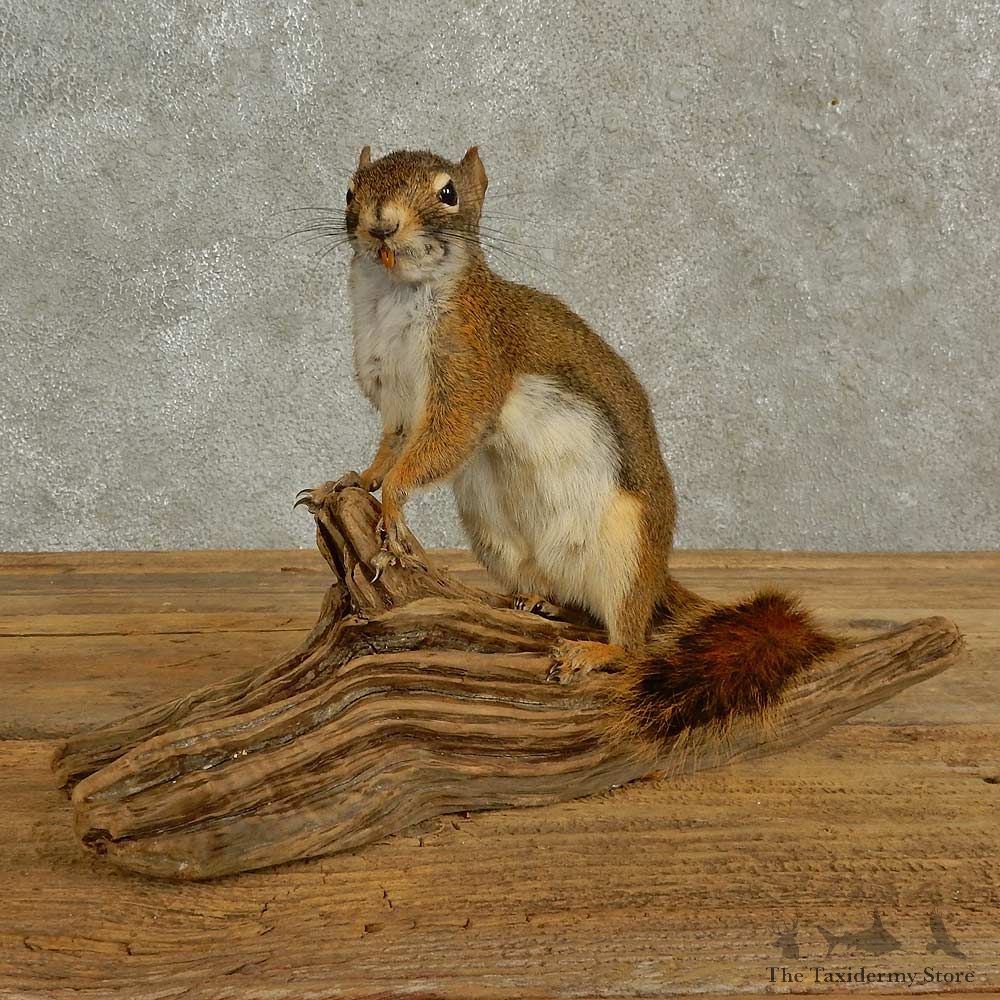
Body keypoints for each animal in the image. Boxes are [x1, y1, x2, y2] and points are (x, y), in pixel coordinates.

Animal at [298, 145, 836, 743]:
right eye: (350, 189)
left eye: (448, 193)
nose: (383, 225)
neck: (396, 297)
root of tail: (655, 577)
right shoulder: (391, 392)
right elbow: (390, 446)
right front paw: (353, 480)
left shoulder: (474, 368)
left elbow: (445, 440)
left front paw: (392, 510)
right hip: (500, 544)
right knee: (560, 595)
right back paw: (539, 601)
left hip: (627, 554)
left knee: (632, 642)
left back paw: (595, 652)